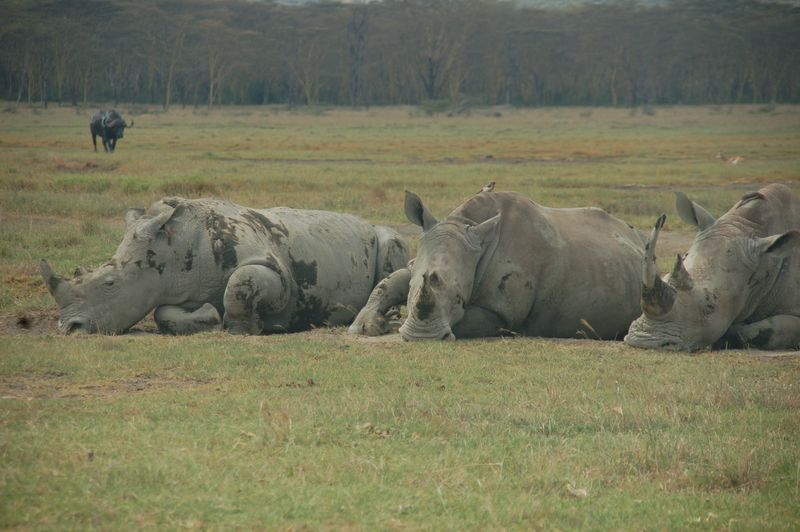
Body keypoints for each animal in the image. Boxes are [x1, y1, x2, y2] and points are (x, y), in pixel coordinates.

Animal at [40, 197, 409, 335]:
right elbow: (163, 313)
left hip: (381, 235)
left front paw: (247, 327)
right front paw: (209, 315)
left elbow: (240, 284)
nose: (69, 327)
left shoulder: (276, 271)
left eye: (110, 285)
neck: (174, 245)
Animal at [349, 189, 646, 341]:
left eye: (459, 299)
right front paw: (367, 326)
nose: (422, 337)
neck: (464, 225)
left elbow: (468, 322)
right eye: (413, 290)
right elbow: (390, 281)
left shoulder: (502, 311)